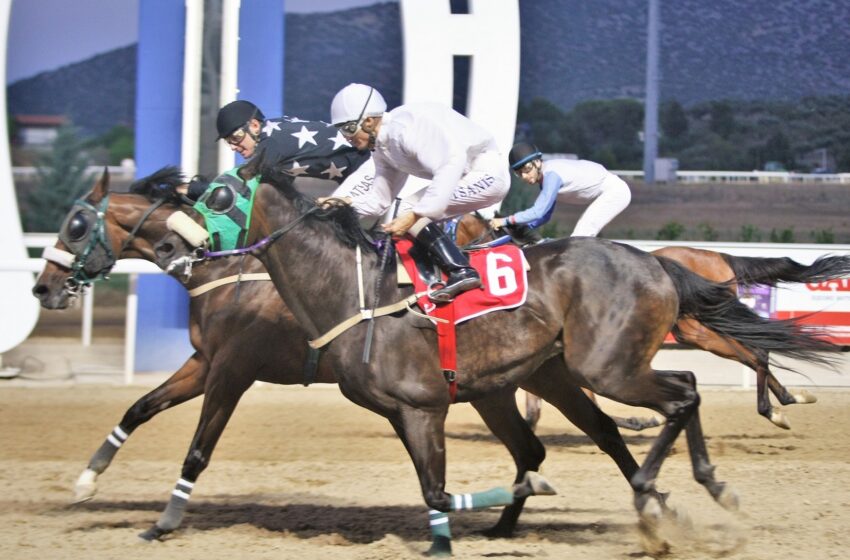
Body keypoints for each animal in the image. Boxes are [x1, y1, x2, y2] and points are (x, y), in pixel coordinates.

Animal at [31, 168, 644, 548]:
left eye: (76, 225)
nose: (43, 288)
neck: (232, 270)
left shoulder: (232, 370)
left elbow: (198, 449)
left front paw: (165, 521)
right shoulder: (203, 363)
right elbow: (138, 408)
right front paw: (87, 481)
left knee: (580, 425)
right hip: (510, 381)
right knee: (550, 441)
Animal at [454, 212, 848, 430]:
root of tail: (717, 255)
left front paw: (642, 420)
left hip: (697, 328)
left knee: (756, 353)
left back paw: (775, 406)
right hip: (697, 328)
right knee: (756, 351)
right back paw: (787, 399)